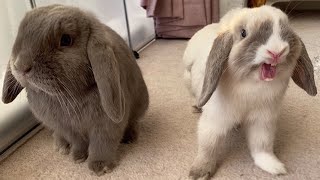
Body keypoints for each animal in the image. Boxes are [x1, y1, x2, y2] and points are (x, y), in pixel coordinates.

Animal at [1, 4, 149, 176]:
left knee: (133, 121)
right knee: (58, 133)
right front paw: (77, 157)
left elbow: (102, 144)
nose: (20, 66)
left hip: (140, 104)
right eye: (20, 34)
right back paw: (61, 146)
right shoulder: (69, 129)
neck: (68, 95)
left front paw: (100, 167)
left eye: (66, 40)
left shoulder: (106, 126)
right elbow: (78, 141)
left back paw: (130, 137)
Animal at [184, 4, 316, 179]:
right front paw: (199, 172)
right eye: (243, 33)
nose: (277, 52)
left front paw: (274, 167)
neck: (251, 85)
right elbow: (208, 147)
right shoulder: (214, 121)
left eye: (285, 30)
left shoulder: (262, 121)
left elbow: (261, 146)